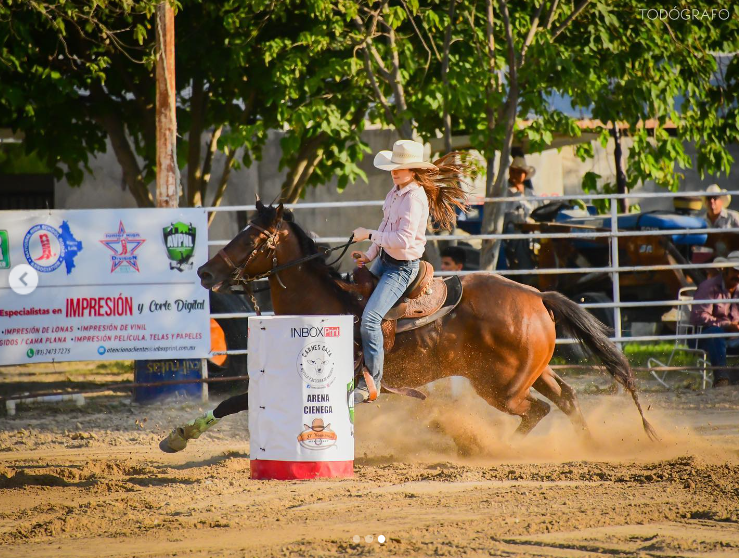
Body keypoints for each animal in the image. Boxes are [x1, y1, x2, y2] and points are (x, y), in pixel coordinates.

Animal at [184, 201, 652, 446]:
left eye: (252, 238)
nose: (205, 272)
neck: (323, 302)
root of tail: (538, 296)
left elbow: (237, 401)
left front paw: (180, 436)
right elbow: (236, 402)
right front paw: (182, 434)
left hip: (500, 386)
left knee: (537, 410)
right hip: (534, 371)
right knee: (567, 398)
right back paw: (588, 447)